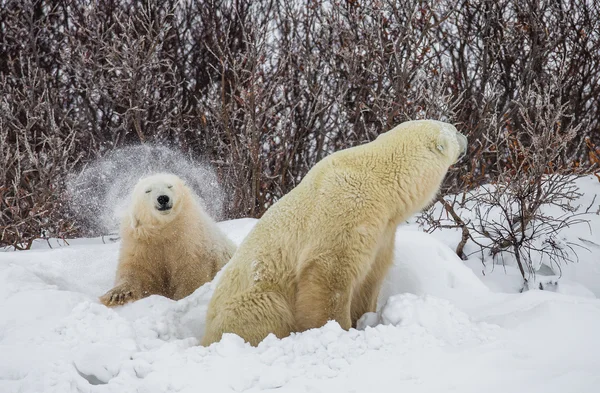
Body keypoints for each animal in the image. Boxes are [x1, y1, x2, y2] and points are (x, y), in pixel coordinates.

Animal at [99, 174, 236, 306]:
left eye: (170, 186)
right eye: (148, 190)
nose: (163, 198)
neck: (165, 231)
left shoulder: (190, 240)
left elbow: (190, 272)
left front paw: (185, 296)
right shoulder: (140, 244)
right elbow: (135, 270)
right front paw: (117, 295)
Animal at [202, 118, 468, 344]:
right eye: (453, 128)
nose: (465, 136)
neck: (380, 184)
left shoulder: (383, 230)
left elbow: (371, 277)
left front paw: (365, 319)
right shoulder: (346, 208)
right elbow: (329, 271)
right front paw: (337, 329)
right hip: (252, 301)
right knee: (268, 309)